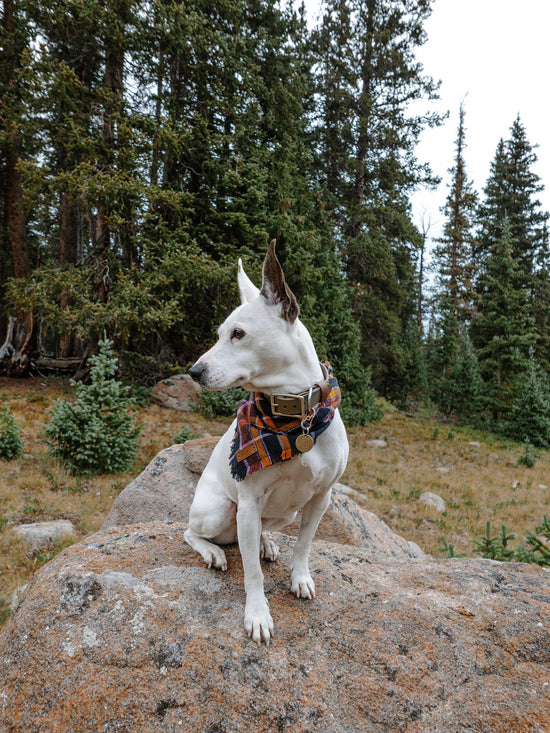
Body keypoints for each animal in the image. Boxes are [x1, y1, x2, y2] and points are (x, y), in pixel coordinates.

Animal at [187, 240, 350, 640]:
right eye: (220, 333)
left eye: (238, 333)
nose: (194, 371)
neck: (295, 417)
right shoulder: (247, 503)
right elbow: (253, 575)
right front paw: (258, 615)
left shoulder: (321, 498)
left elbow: (304, 544)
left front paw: (300, 578)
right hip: (219, 511)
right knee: (189, 532)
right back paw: (213, 552)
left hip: (283, 512)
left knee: (259, 532)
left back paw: (265, 543)